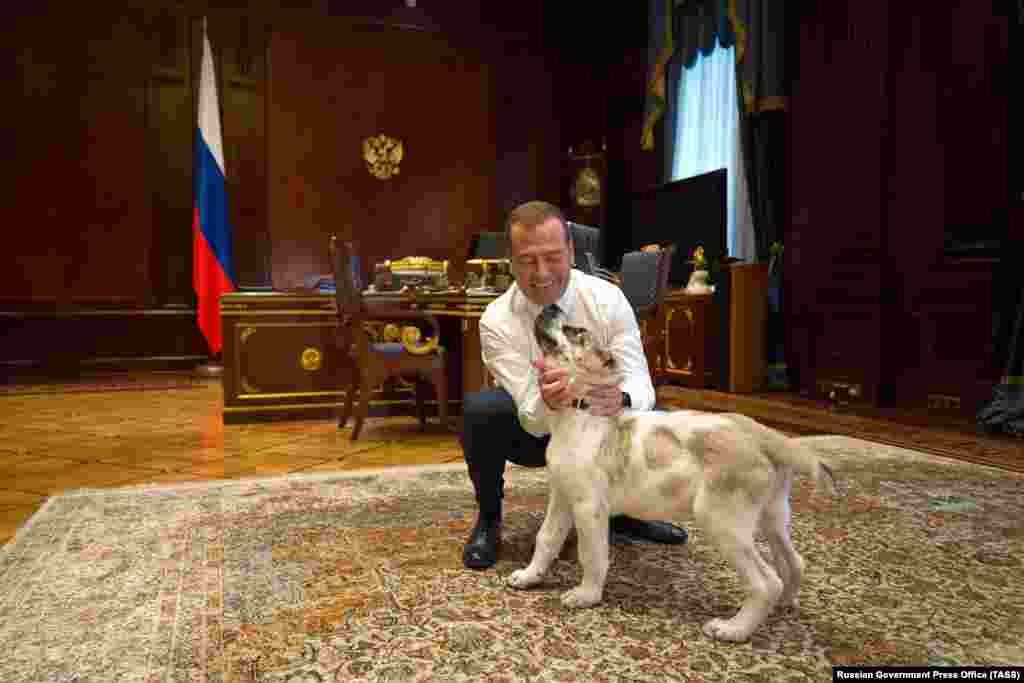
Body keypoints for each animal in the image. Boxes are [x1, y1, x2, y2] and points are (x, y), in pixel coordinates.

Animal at [507, 307, 835, 643]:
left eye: (576, 332)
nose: (550, 308)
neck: (579, 413)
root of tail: (764, 436)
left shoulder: (589, 507)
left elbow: (593, 553)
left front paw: (587, 596)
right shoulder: (562, 495)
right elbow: (546, 538)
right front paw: (530, 577)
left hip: (722, 521)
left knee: (767, 581)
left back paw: (733, 629)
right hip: (772, 517)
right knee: (794, 563)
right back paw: (783, 606)